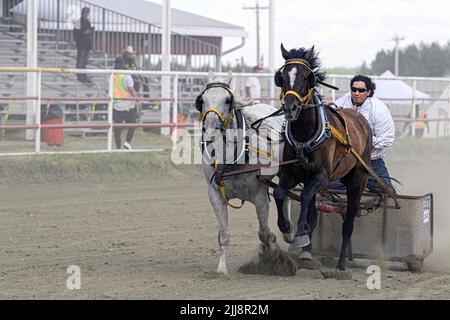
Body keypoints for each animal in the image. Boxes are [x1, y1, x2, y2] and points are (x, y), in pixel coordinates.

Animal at [274, 43, 372, 272]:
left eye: (305, 77)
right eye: (282, 76)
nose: (290, 108)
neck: (305, 134)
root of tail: (359, 117)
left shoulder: (321, 176)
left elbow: (304, 197)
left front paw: (301, 233)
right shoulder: (289, 174)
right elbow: (280, 194)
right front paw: (287, 229)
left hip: (357, 181)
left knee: (348, 222)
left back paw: (341, 264)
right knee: (312, 208)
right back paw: (307, 253)